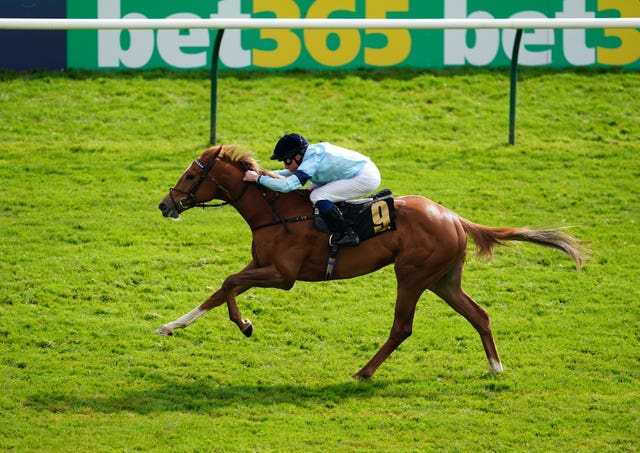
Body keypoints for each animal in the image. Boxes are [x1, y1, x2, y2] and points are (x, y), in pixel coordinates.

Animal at [158, 146, 588, 378]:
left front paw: (245, 324)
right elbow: (220, 289)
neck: (275, 211)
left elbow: (229, 283)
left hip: (411, 276)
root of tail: (453, 216)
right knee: (479, 315)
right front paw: (169, 326)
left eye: (192, 175)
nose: (165, 204)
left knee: (402, 328)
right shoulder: (263, 267)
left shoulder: (282, 275)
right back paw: (495, 367)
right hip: (443, 279)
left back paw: (363, 371)